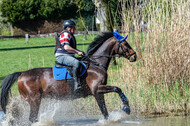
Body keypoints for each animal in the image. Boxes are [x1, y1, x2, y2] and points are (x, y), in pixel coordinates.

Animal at [0, 32, 137, 122]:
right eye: (125, 44)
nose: (134, 56)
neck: (95, 64)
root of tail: (22, 73)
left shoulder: (98, 93)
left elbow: (105, 112)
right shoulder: (98, 89)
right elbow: (117, 89)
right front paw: (126, 107)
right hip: (34, 100)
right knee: (32, 118)